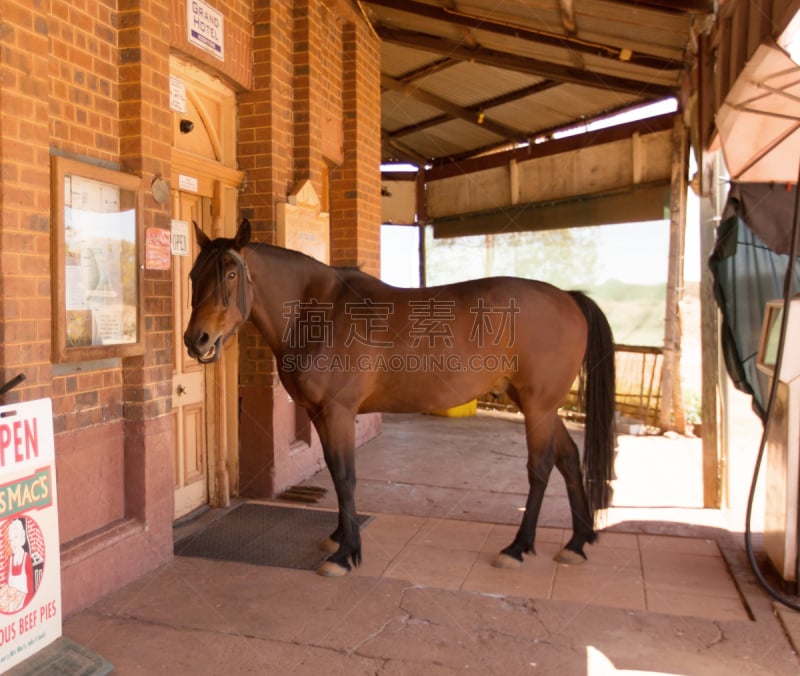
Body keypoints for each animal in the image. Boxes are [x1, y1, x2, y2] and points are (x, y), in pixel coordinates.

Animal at [184, 220, 616, 576]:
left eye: (230, 273)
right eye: (192, 274)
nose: (196, 340)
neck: (317, 311)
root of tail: (568, 297)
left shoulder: (339, 413)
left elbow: (346, 477)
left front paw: (347, 553)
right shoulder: (321, 415)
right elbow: (336, 473)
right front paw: (339, 536)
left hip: (537, 406)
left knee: (540, 468)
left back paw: (518, 547)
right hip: (543, 407)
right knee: (569, 459)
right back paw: (577, 542)